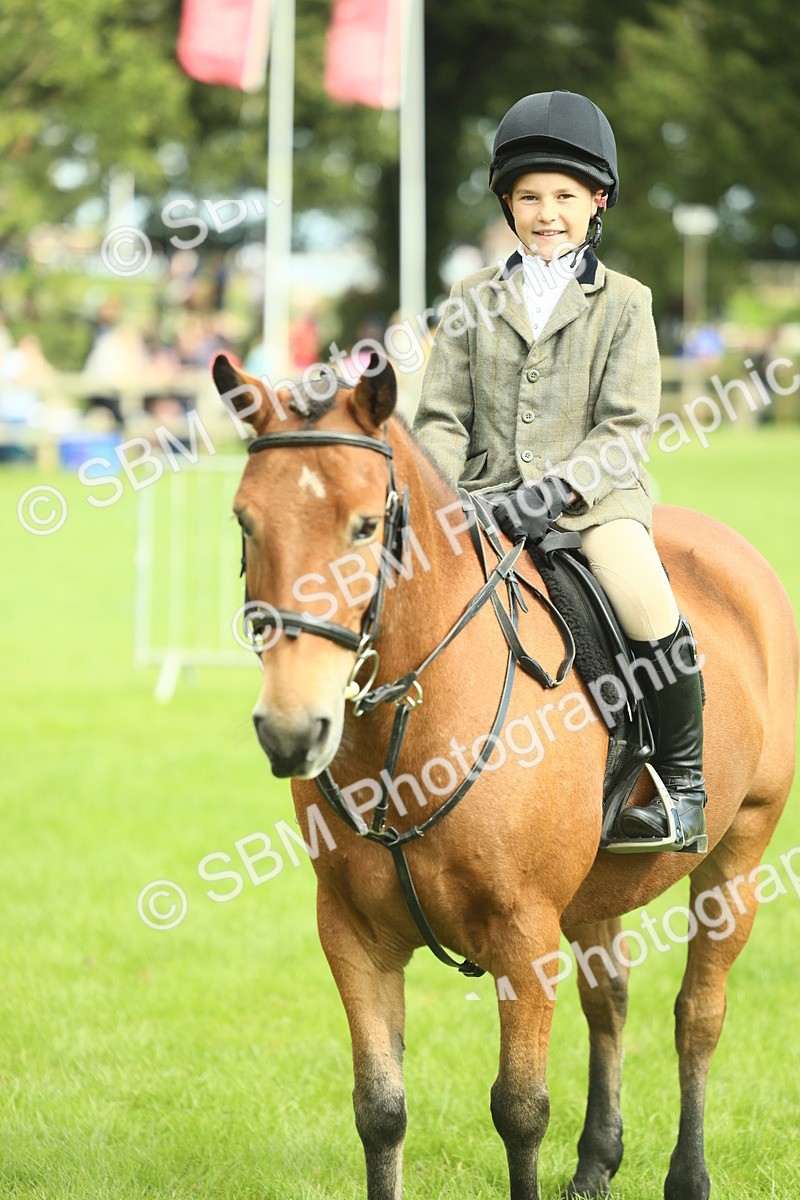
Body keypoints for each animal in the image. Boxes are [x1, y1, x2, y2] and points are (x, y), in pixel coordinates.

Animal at [213, 352, 798, 1200]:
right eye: (246, 521)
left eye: (365, 525)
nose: (291, 729)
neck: (410, 727)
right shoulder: (352, 935)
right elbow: (379, 1111)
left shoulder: (523, 934)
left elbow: (520, 1109)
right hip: (594, 891)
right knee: (609, 1002)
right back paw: (596, 1163)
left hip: (739, 851)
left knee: (698, 1014)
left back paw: (687, 1176)